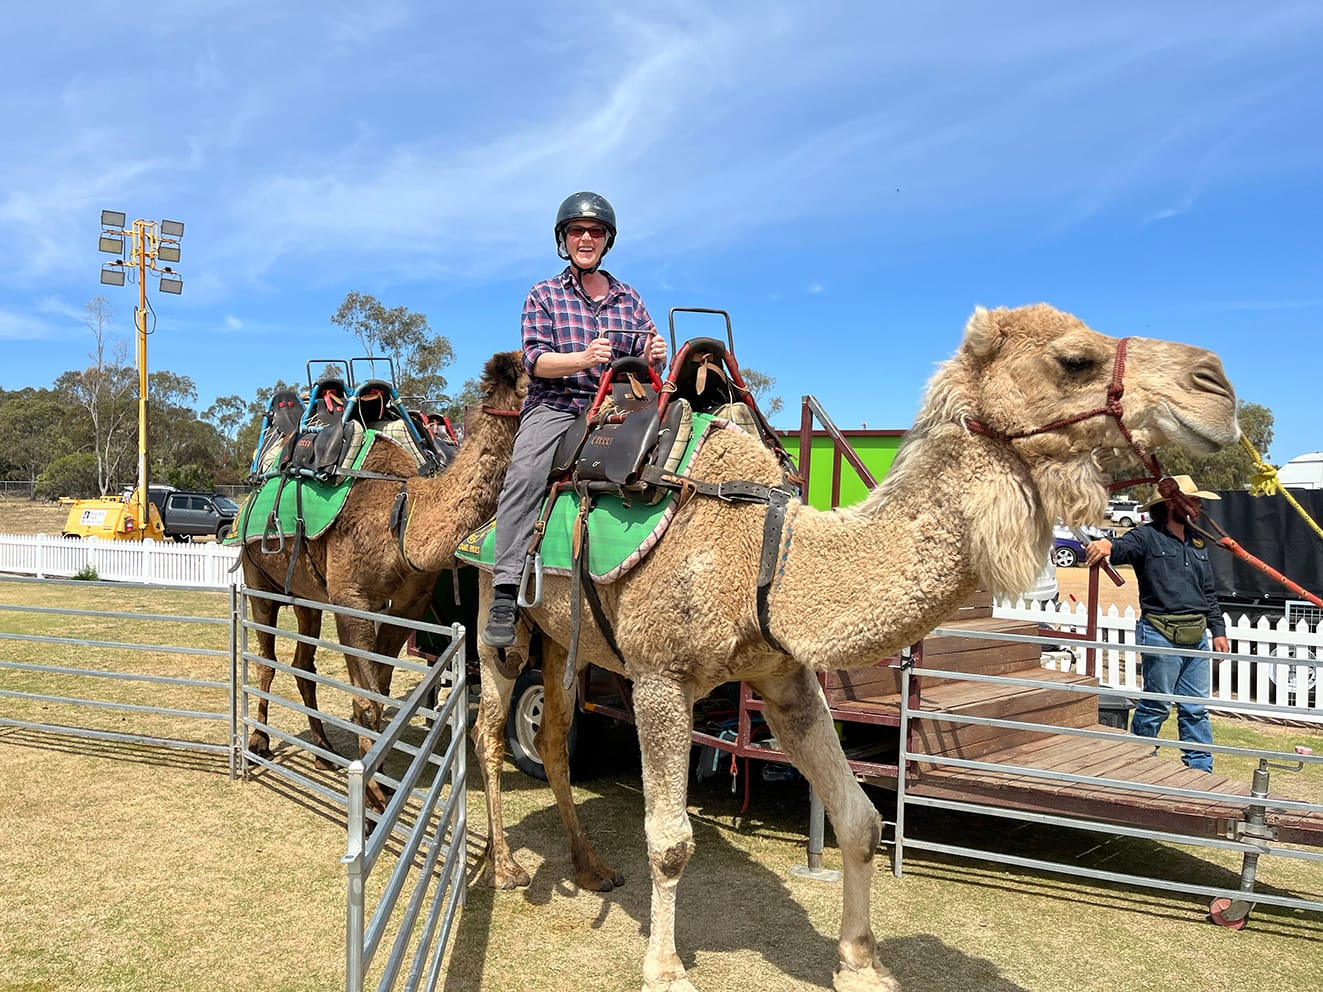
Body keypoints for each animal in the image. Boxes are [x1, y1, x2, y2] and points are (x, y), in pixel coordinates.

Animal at [241, 350, 524, 807]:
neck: (402, 513)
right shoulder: (351, 599)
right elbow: (367, 700)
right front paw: (373, 794)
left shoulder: (405, 606)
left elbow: (381, 691)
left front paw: (383, 785)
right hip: (258, 579)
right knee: (265, 658)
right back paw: (259, 743)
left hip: (308, 597)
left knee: (303, 662)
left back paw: (322, 750)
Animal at [468, 304, 1240, 992]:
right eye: (1074, 359)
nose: (1217, 385)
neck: (768, 550)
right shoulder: (661, 676)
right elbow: (669, 841)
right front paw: (664, 971)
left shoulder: (785, 678)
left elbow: (861, 820)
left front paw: (861, 966)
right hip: (497, 615)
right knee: (487, 726)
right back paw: (505, 868)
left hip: (566, 639)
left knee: (556, 734)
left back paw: (591, 868)